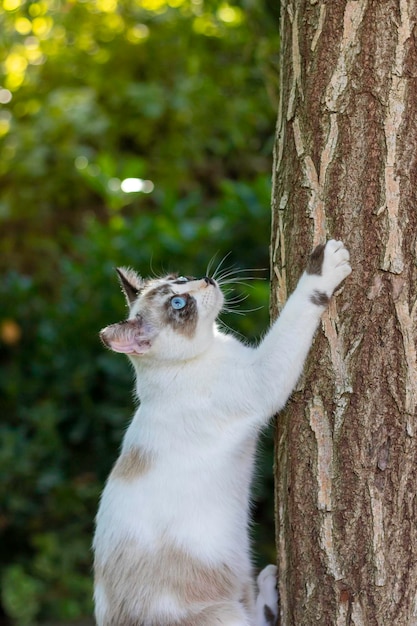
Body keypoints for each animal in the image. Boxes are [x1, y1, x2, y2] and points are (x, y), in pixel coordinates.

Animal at [93, 240, 352, 624]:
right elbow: (298, 309)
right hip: (225, 616)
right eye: (178, 303)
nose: (206, 279)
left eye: (180, 279)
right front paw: (324, 266)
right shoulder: (264, 378)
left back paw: (268, 584)